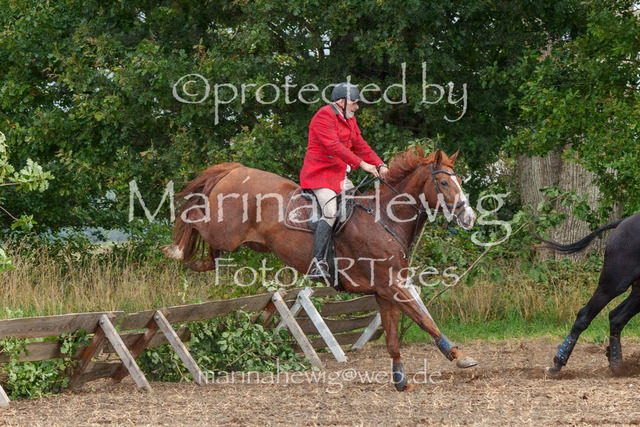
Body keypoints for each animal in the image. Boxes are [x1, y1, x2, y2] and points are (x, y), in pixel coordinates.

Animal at [160, 147, 479, 390]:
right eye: (445, 184)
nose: (469, 217)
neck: (384, 219)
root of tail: (235, 170)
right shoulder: (391, 286)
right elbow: (424, 320)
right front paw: (458, 355)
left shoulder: (384, 291)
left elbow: (392, 338)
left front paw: (400, 380)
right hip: (224, 231)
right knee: (193, 214)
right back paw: (175, 250)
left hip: (231, 239)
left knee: (209, 250)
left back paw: (198, 261)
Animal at [538, 212, 640, 374]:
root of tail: (624, 222)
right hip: (613, 284)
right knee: (585, 316)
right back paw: (558, 362)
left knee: (616, 318)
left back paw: (616, 362)